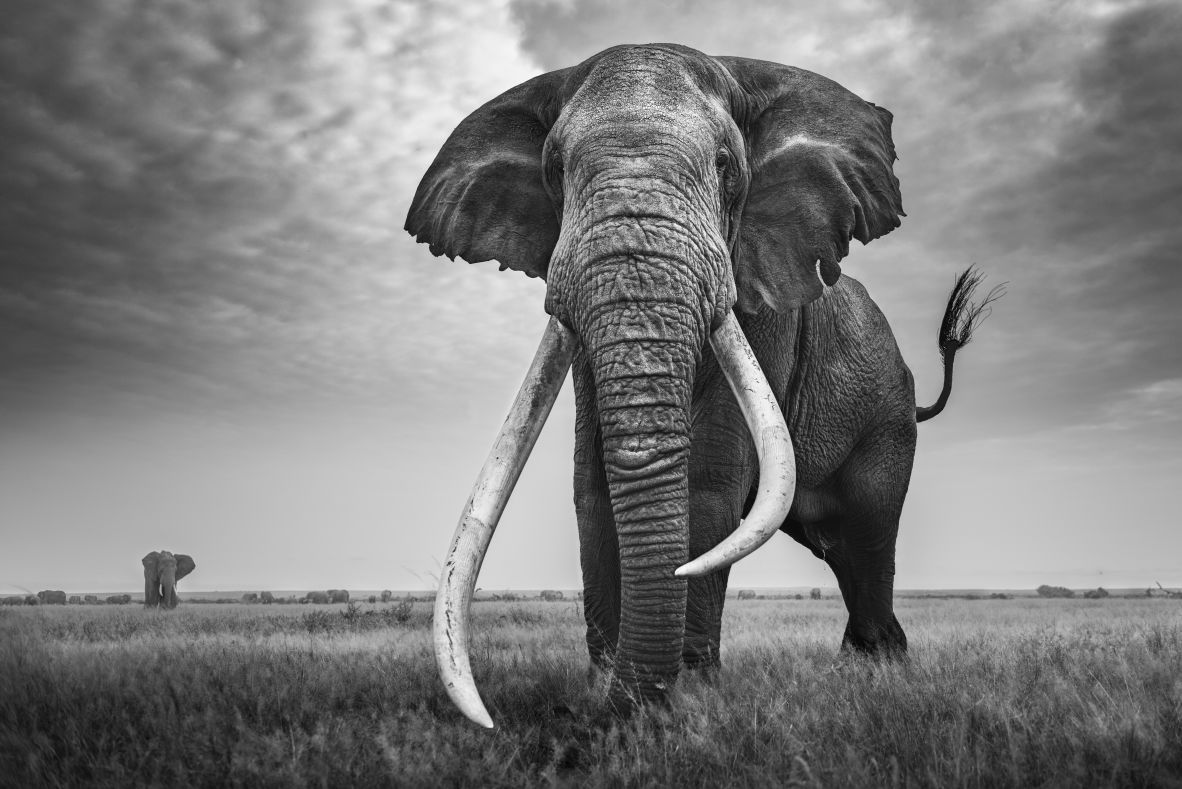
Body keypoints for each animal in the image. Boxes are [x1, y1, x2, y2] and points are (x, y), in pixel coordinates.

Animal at [406, 43, 1000, 726]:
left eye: (723, 165)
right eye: (554, 170)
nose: (601, 709)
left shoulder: (763, 301)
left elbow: (711, 479)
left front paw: (688, 691)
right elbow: (592, 481)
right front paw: (605, 688)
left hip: (887, 417)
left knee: (869, 532)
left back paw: (880, 670)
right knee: (838, 545)